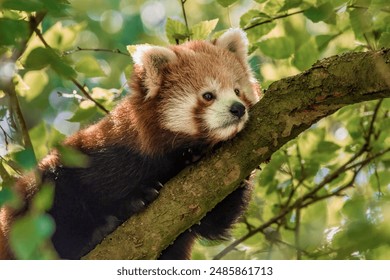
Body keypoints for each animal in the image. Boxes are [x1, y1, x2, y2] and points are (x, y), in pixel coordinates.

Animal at [1, 28, 262, 260]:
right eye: (208, 95)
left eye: (237, 90)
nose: (238, 108)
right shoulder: (101, 153)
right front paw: (136, 198)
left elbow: (211, 221)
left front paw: (197, 158)